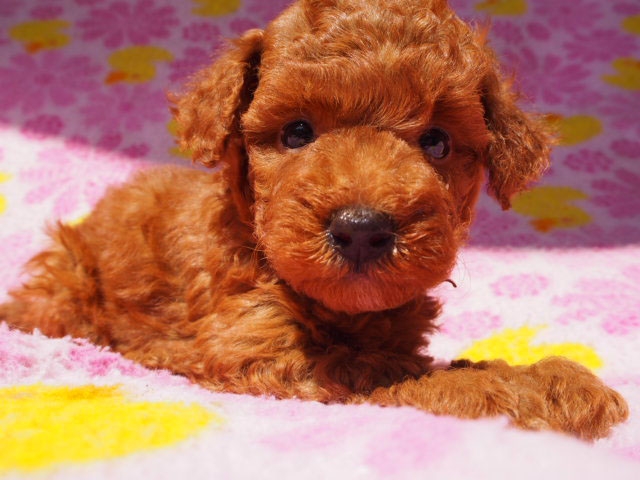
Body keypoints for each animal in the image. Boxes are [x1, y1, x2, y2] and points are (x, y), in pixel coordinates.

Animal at [0, 0, 628, 440]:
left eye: (437, 142)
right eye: (297, 132)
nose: (362, 230)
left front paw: (545, 379)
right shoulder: (258, 348)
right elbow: (405, 377)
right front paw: (526, 387)